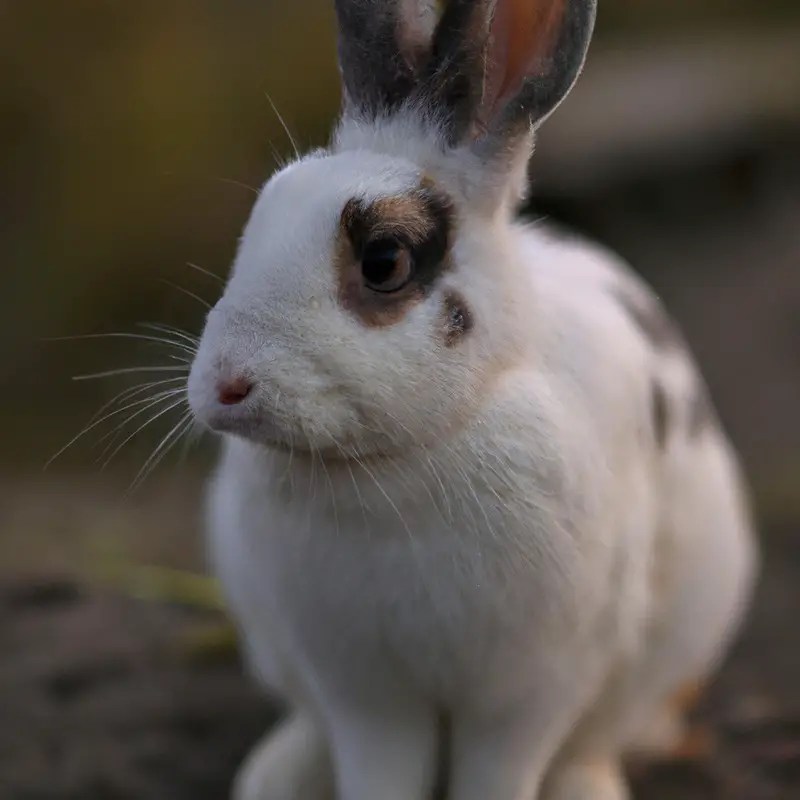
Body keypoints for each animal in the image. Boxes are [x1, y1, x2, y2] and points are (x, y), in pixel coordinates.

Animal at [187, 1, 759, 798]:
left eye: (385, 261)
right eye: (260, 216)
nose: (225, 385)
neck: (398, 464)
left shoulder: (532, 687)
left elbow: (502, 768)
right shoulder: (363, 691)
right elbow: (377, 767)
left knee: (599, 742)